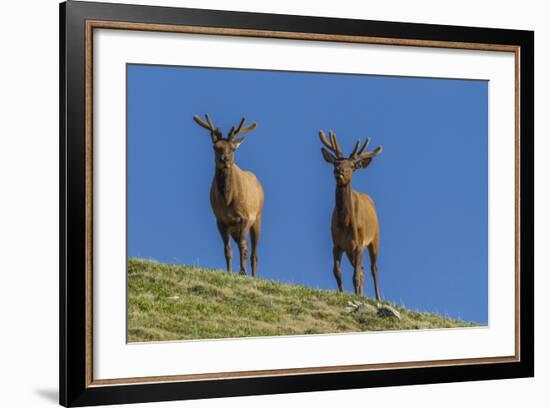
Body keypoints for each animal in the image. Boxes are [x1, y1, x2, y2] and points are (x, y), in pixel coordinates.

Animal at [194, 113, 266, 276]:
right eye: (215, 147)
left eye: (233, 149)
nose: (224, 160)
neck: (227, 200)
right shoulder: (221, 220)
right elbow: (227, 249)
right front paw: (230, 271)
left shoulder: (245, 217)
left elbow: (243, 246)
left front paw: (242, 271)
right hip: (235, 229)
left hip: (258, 217)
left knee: (254, 253)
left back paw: (253, 276)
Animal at [322, 129, 386, 302]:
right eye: (335, 163)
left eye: (352, 165)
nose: (339, 171)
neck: (345, 223)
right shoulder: (337, 244)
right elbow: (336, 272)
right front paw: (342, 292)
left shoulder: (359, 243)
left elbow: (355, 275)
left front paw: (356, 295)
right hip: (351, 250)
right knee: (363, 270)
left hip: (375, 238)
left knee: (373, 268)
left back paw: (378, 298)